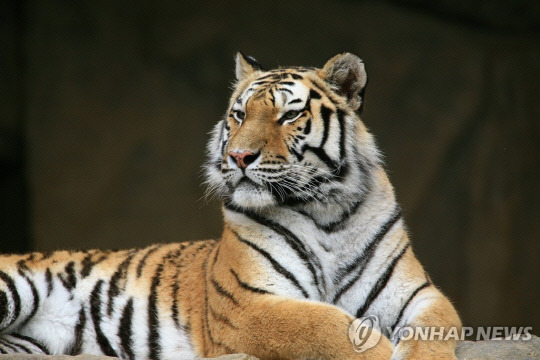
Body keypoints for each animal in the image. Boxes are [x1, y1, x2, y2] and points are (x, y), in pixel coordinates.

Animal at [0, 53, 462, 360]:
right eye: (238, 115)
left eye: (288, 116)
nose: (239, 157)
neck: (326, 213)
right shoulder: (249, 303)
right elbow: (326, 326)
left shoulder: (419, 294)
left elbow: (432, 333)